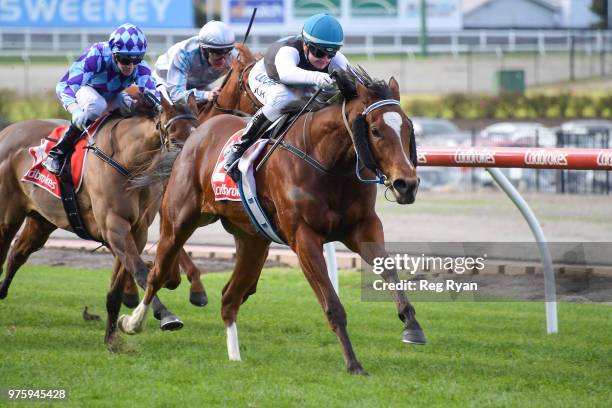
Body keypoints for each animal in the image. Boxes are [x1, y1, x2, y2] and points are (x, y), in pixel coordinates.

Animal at [0, 93, 198, 348]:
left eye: (197, 134)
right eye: (173, 138)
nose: (188, 169)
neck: (128, 163)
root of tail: (7, 131)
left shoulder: (137, 231)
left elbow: (117, 289)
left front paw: (111, 339)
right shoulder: (114, 227)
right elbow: (140, 271)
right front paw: (163, 316)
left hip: (41, 221)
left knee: (17, 254)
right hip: (8, 216)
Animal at [120, 67, 426, 372]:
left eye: (408, 128)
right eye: (375, 131)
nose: (406, 185)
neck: (329, 164)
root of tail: (196, 135)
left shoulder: (364, 228)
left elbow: (389, 272)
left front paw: (412, 327)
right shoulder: (304, 238)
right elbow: (332, 304)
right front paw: (353, 363)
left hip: (253, 241)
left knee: (230, 297)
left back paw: (235, 356)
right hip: (179, 222)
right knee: (157, 275)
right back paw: (136, 322)